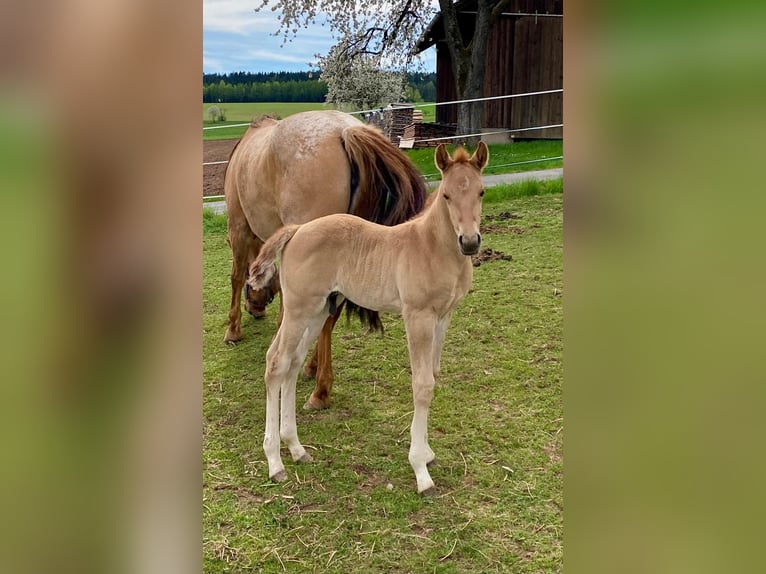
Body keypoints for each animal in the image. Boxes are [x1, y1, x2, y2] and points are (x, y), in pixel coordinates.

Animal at [223, 110, 427, 410]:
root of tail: (346, 131)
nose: (256, 310)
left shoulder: (238, 228)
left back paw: (315, 384)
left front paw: (233, 330)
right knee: (329, 316)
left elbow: (237, 277)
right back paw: (316, 378)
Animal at [248, 142, 489, 493]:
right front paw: (421, 469)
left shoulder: (444, 317)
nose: (469, 242)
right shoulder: (417, 316)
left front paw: (428, 453)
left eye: (482, 192)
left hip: (318, 310)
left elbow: (433, 374)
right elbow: (422, 385)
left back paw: (295, 447)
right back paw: (275, 461)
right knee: (276, 361)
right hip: (298, 309)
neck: (431, 246)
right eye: (446, 195)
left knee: (292, 363)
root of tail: (297, 230)